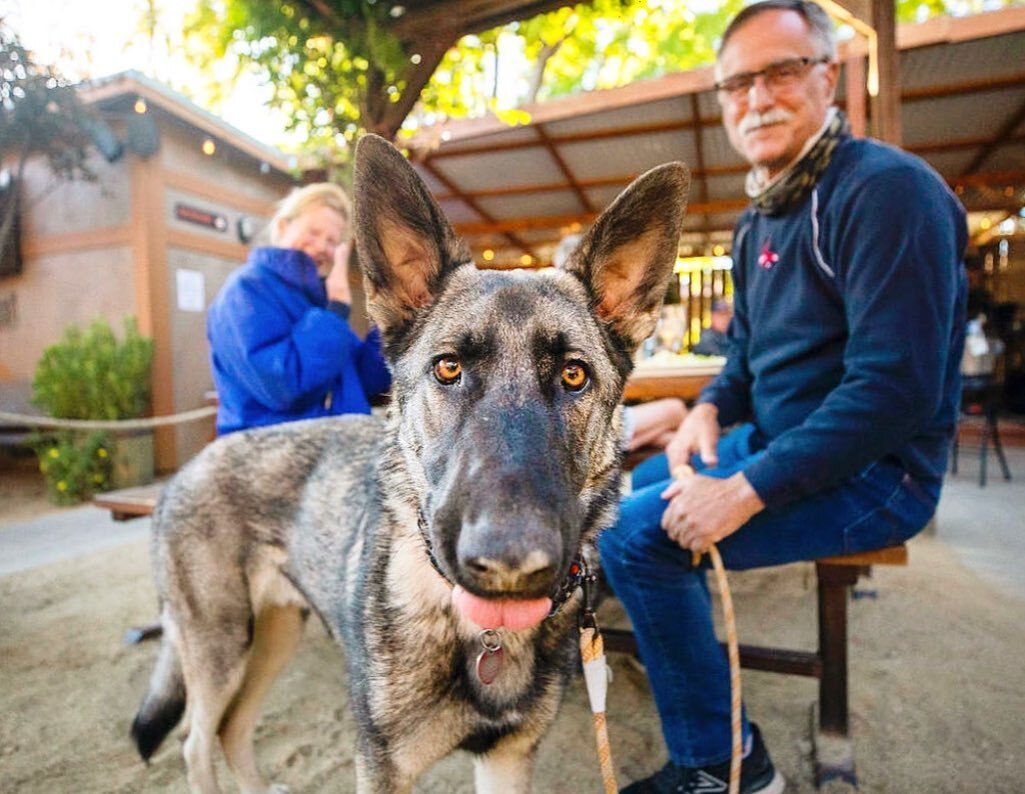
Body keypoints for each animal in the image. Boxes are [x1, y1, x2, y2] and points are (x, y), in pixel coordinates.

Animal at [130, 133, 688, 790]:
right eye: (448, 367)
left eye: (574, 376)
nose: (510, 561)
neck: (478, 634)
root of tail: (187, 469)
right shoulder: (382, 767)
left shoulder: (507, 758)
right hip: (220, 644)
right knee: (197, 740)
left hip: (274, 632)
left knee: (232, 726)